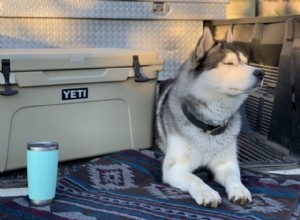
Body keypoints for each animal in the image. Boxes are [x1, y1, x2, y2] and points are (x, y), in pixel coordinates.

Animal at [156, 26, 264, 207]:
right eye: (229, 63)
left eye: (245, 62)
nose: (261, 73)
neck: (209, 125)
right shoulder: (174, 167)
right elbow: (195, 179)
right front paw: (207, 192)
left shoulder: (226, 164)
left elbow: (233, 177)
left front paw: (240, 189)